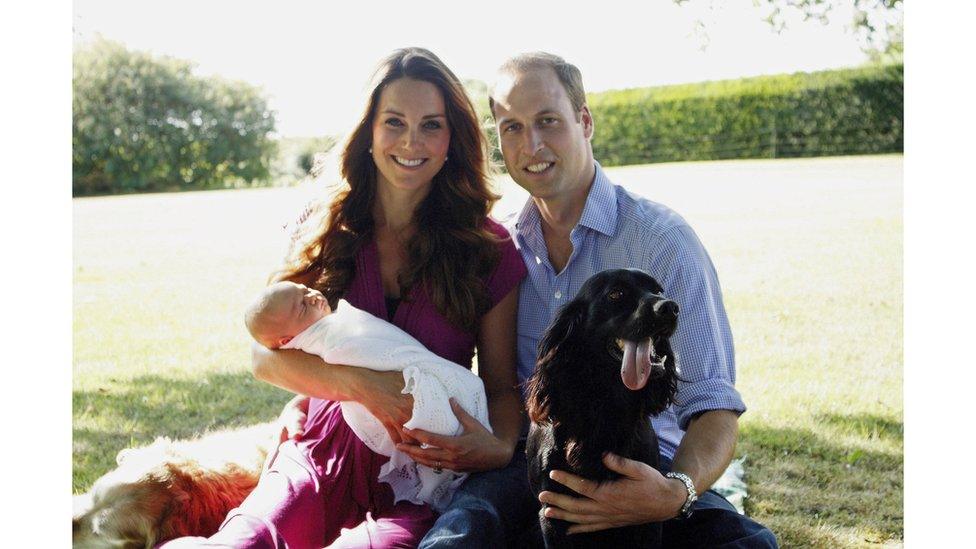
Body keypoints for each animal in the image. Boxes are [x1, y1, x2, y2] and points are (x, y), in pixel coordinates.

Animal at [528, 268, 680, 544]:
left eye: (658, 290)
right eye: (616, 293)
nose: (671, 308)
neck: (607, 404)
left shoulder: (649, 510)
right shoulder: (552, 513)